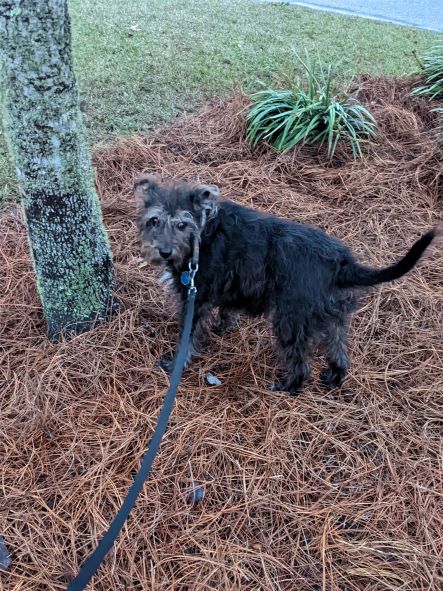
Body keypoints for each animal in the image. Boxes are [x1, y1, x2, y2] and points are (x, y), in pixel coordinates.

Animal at [136, 176, 440, 398]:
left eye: (182, 224)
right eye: (154, 221)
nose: (163, 252)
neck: (202, 233)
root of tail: (340, 263)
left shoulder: (194, 299)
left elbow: (187, 339)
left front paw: (175, 364)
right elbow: (226, 309)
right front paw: (223, 326)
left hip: (290, 320)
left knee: (301, 364)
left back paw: (288, 387)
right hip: (332, 316)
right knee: (339, 351)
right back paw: (334, 377)